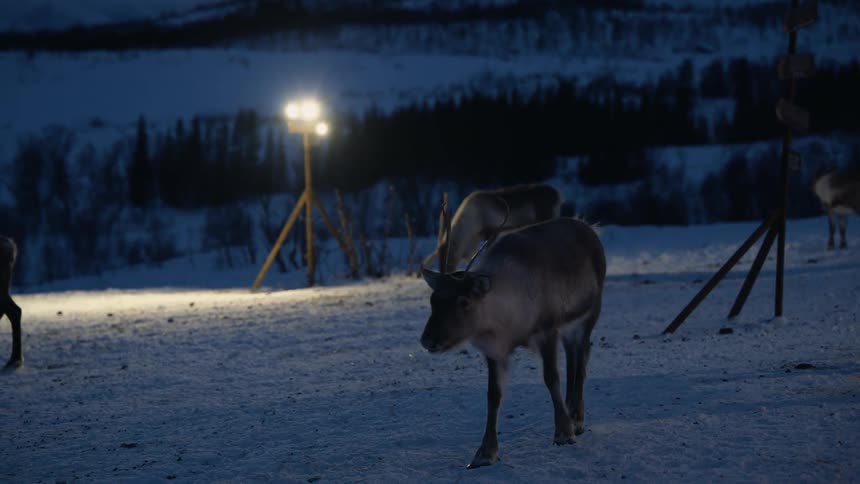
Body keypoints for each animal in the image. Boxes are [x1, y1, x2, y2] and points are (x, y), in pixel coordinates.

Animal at [419, 197, 606, 469]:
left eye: (463, 301)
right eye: (433, 300)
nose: (427, 340)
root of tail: (589, 228)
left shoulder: (547, 329)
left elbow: (551, 378)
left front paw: (563, 433)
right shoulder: (495, 350)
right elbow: (493, 395)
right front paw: (485, 453)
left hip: (589, 313)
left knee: (581, 360)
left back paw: (577, 419)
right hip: (569, 327)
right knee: (575, 357)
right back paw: (572, 412)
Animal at [423, 184, 563, 274]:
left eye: (448, 258)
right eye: (438, 257)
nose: (444, 273)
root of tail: (558, 195)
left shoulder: (491, 233)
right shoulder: (475, 242)